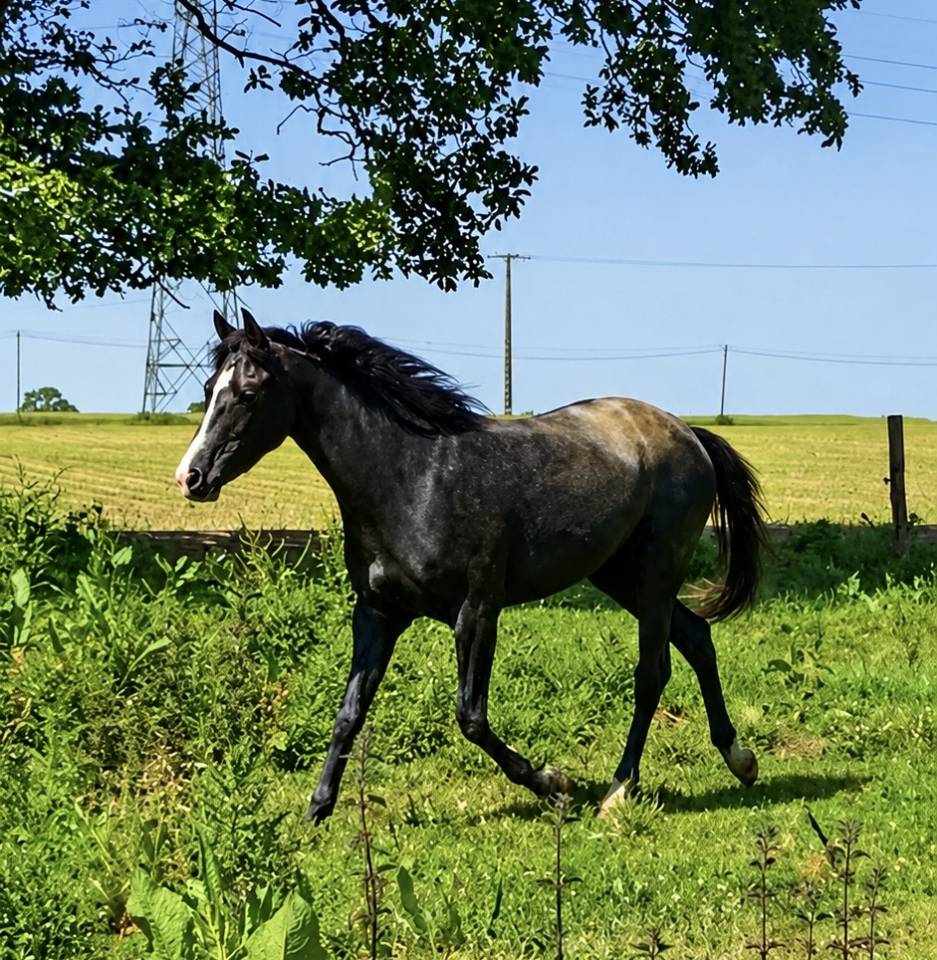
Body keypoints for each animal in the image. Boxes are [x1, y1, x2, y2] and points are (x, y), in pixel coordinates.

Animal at [175, 308, 767, 822]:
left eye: (248, 393)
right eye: (207, 391)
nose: (190, 478)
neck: (413, 478)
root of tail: (689, 433)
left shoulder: (477, 612)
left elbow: (471, 717)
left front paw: (554, 784)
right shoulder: (377, 614)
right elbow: (349, 712)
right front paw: (317, 811)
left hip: (655, 572)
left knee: (653, 671)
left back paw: (620, 790)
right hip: (617, 574)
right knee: (695, 637)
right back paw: (740, 760)